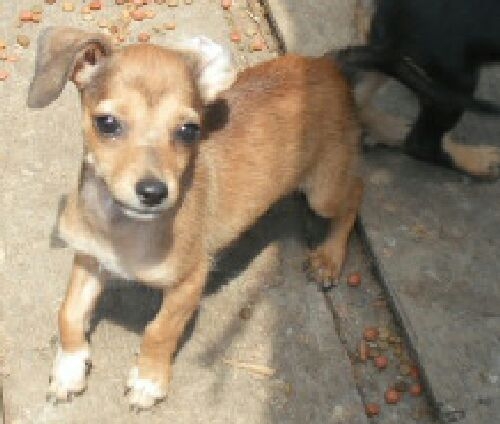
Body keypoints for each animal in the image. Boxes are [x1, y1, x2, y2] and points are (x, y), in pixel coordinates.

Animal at [27, 27, 362, 410]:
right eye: (107, 123)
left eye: (189, 130)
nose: (154, 192)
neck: (120, 228)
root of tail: (329, 64)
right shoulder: (89, 256)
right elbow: (68, 312)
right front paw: (69, 367)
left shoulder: (189, 281)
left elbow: (159, 331)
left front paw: (148, 380)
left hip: (324, 191)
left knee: (355, 194)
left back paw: (329, 258)